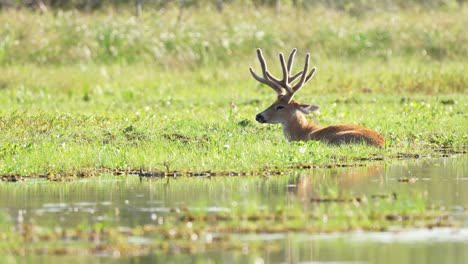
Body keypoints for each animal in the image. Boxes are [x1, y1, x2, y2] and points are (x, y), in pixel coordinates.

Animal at [250, 48, 386, 147]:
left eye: (280, 106)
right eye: (273, 102)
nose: (258, 116)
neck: (303, 131)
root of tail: (381, 143)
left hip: (336, 139)